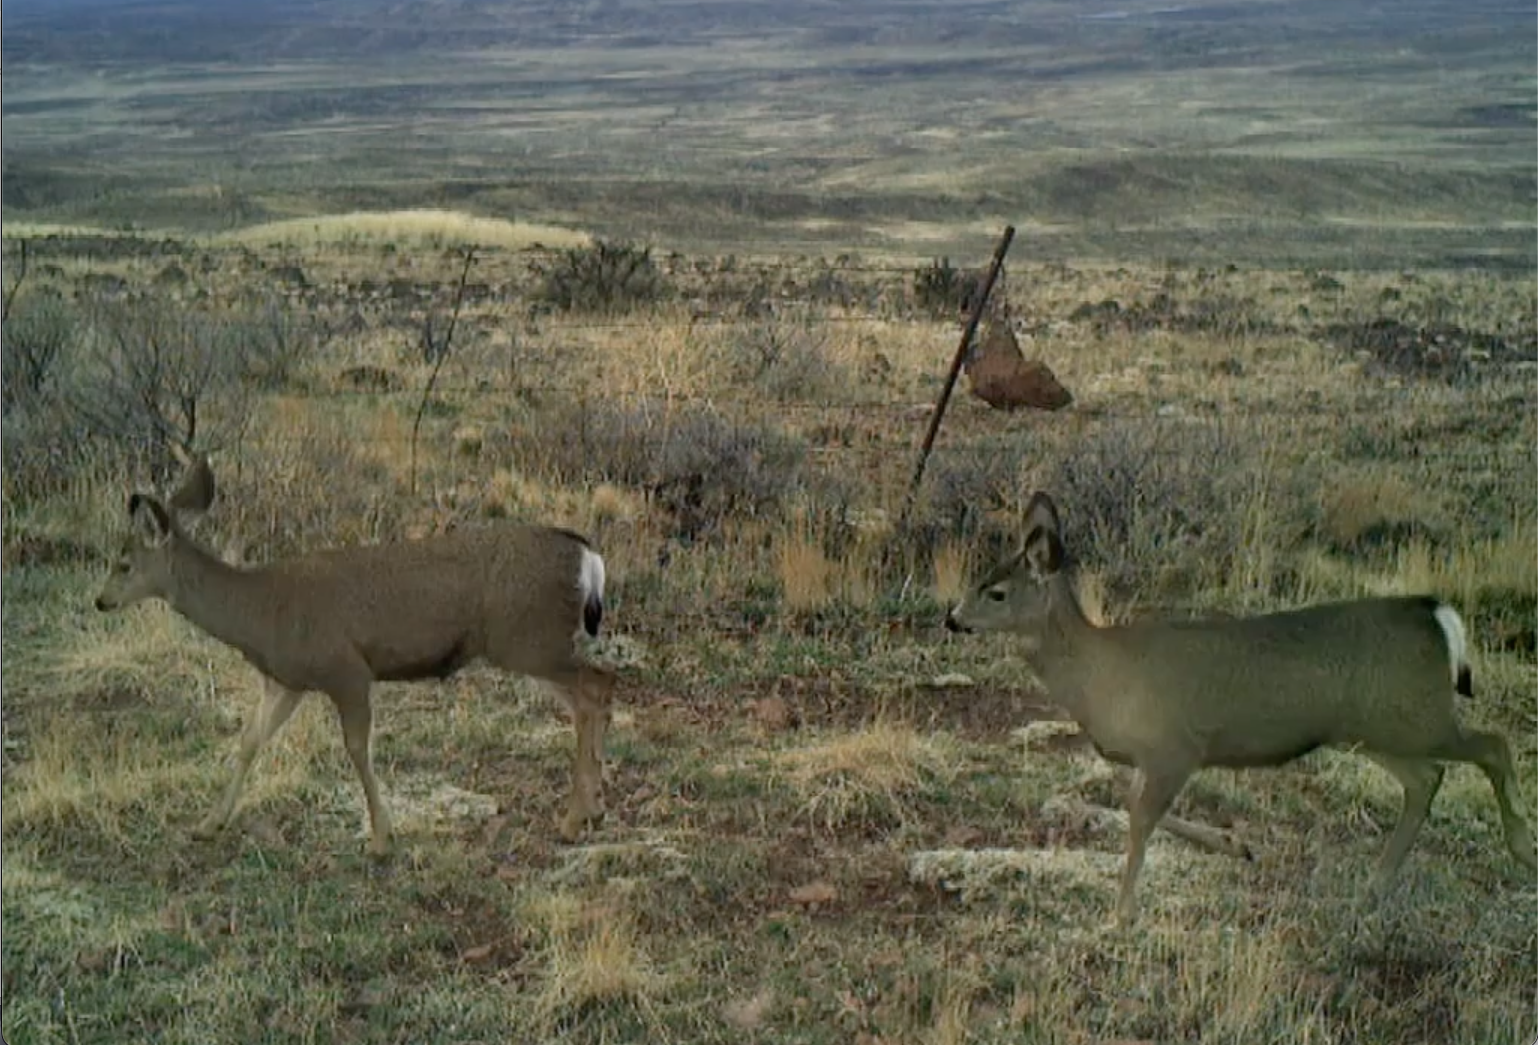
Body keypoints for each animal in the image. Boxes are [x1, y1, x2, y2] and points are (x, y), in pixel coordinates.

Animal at [93, 450, 617, 856]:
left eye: (123, 563)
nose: (101, 601)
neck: (261, 612)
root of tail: (585, 554)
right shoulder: (286, 681)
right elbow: (249, 741)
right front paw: (208, 824)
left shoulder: (345, 669)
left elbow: (357, 748)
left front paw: (382, 838)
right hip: (532, 645)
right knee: (594, 693)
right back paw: (593, 807)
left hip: (528, 639)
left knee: (594, 688)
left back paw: (574, 818)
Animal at [945, 490, 1537, 926]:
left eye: (995, 592)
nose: (952, 618)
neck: (1099, 674)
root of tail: (1437, 614)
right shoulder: (1146, 756)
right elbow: (1136, 809)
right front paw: (1236, 845)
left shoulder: (1176, 745)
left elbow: (1140, 822)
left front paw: (1121, 913)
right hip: (1373, 728)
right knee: (1427, 778)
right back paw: (1377, 882)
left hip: (1412, 714)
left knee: (1492, 744)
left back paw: (1520, 847)